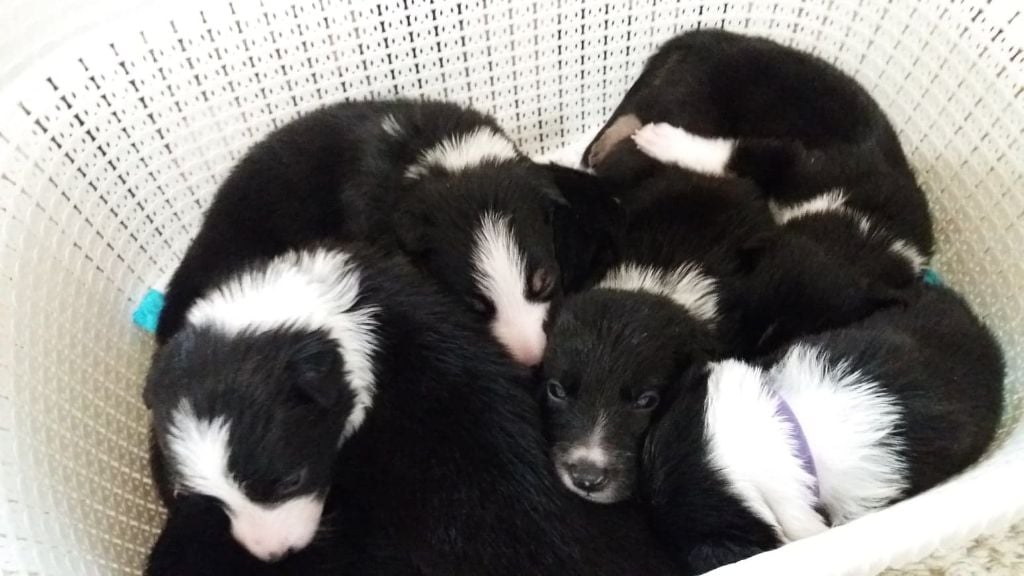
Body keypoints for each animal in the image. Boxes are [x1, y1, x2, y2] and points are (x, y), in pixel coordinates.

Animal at [589, 28, 933, 293]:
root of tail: (693, 38)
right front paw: (665, 141)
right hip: (692, 104)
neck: (868, 225)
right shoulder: (796, 162)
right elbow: (732, 154)